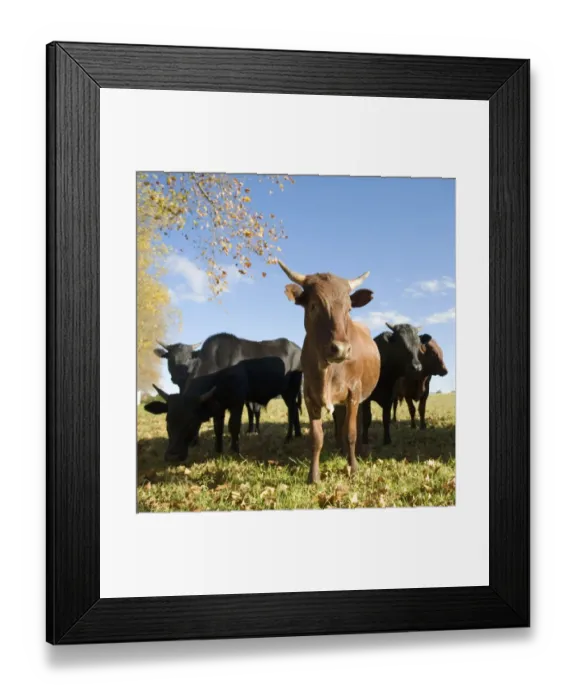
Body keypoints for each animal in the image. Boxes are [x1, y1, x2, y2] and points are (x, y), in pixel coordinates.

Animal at [144, 356, 303, 462]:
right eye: (167, 420)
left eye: (191, 422)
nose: (172, 456)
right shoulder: (218, 408)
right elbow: (218, 428)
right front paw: (218, 451)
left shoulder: (237, 403)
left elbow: (233, 426)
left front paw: (234, 451)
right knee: (295, 411)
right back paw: (297, 434)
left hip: (290, 391)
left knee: (292, 411)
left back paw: (289, 437)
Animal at [278, 260, 380, 484]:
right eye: (314, 306)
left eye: (349, 309)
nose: (341, 349)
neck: (328, 370)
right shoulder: (309, 395)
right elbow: (317, 438)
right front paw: (313, 476)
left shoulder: (354, 392)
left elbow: (351, 432)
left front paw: (353, 468)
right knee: (340, 422)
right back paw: (341, 450)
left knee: (357, 423)